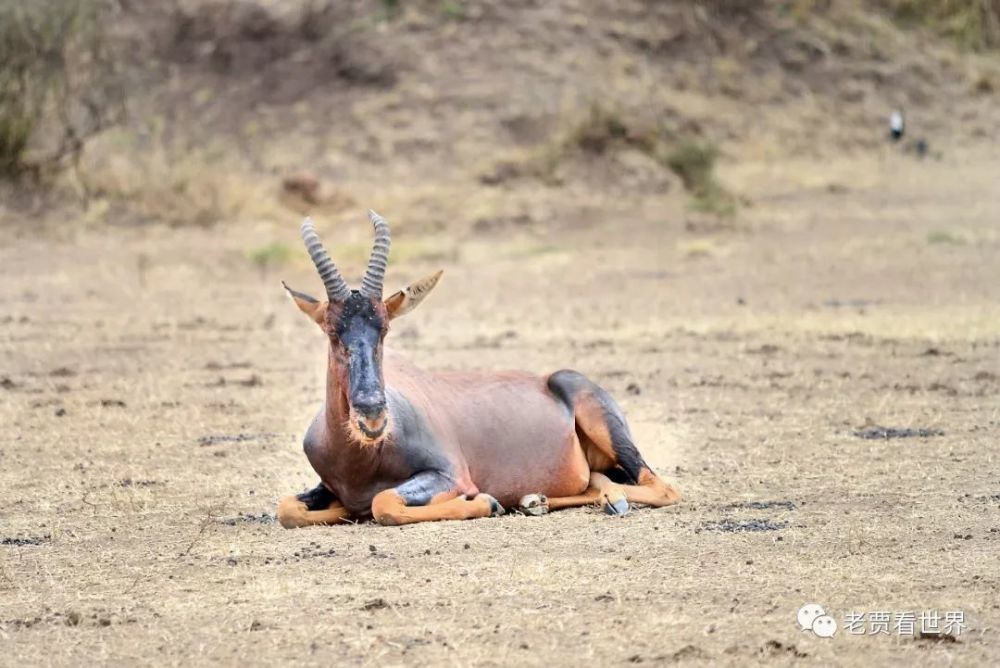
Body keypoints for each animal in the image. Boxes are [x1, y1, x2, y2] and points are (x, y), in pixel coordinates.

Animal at [276, 213, 680, 528]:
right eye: (332, 331)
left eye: (385, 329)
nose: (372, 415)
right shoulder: (326, 489)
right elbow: (288, 509)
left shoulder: (450, 475)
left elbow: (384, 502)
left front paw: (486, 501)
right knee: (595, 481)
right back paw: (536, 500)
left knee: (661, 487)